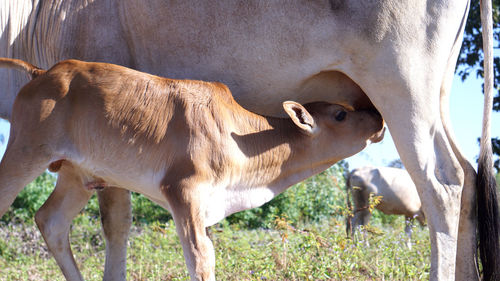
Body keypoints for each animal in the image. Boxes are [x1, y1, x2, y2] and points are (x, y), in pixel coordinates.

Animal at [0, 57, 384, 280]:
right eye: (340, 114)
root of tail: (42, 72)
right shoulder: (183, 191)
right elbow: (200, 258)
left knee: (50, 220)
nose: (378, 117)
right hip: (25, 152)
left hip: (78, 176)